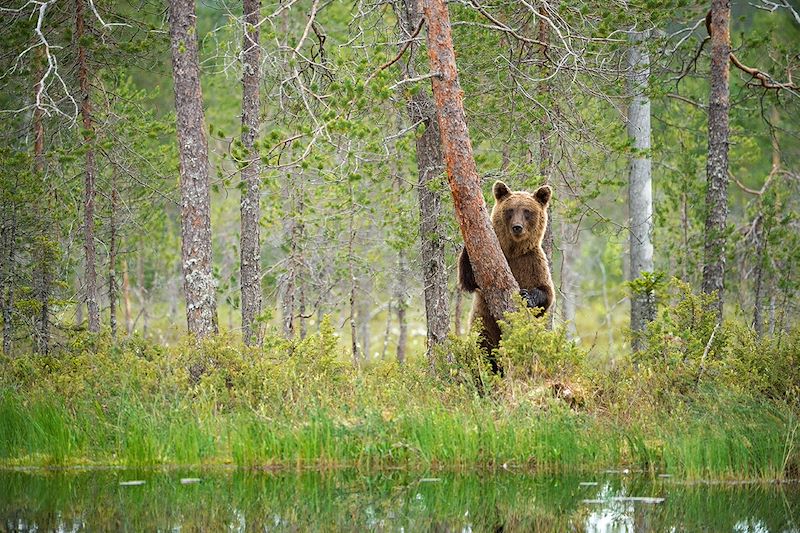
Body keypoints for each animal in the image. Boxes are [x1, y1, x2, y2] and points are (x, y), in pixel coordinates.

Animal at [460, 181, 552, 364]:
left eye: (527, 211)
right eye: (510, 210)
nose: (517, 227)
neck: (513, 251)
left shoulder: (533, 261)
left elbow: (547, 293)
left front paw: (528, 296)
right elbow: (467, 279)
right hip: (484, 323)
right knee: (484, 346)